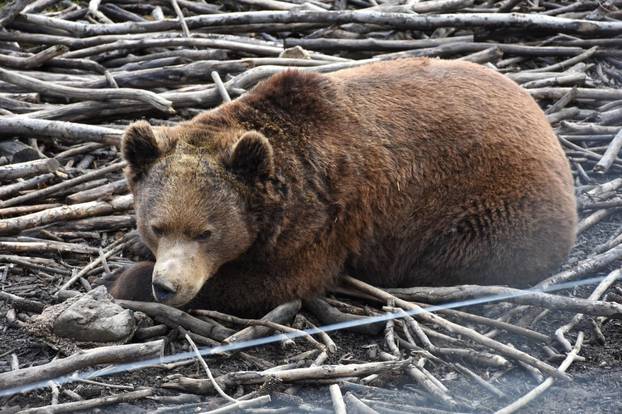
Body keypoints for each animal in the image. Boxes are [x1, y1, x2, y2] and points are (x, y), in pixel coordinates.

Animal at [103, 57, 580, 316]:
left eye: (206, 233)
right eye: (157, 226)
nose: (168, 286)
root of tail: (544, 123)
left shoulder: (322, 219)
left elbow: (273, 281)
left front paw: (121, 279)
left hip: (490, 206)